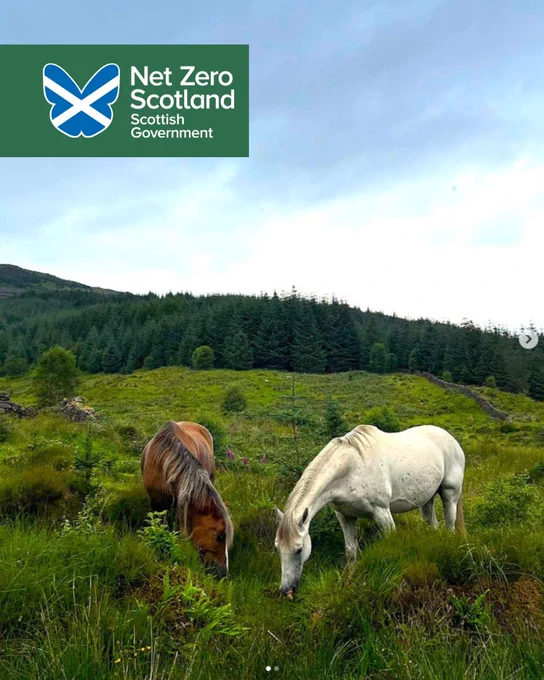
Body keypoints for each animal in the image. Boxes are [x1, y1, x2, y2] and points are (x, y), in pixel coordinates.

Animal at [274, 424, 465, 598]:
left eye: (299, 549)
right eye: (278, 548)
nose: (286, 590)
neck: (351, 468)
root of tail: (451, 439)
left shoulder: (382, 512)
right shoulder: (345, 516)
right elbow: (351, 551)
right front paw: (350, 580)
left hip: (449, 493)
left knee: (450, 525)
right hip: (427, 499)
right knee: (433, 524)